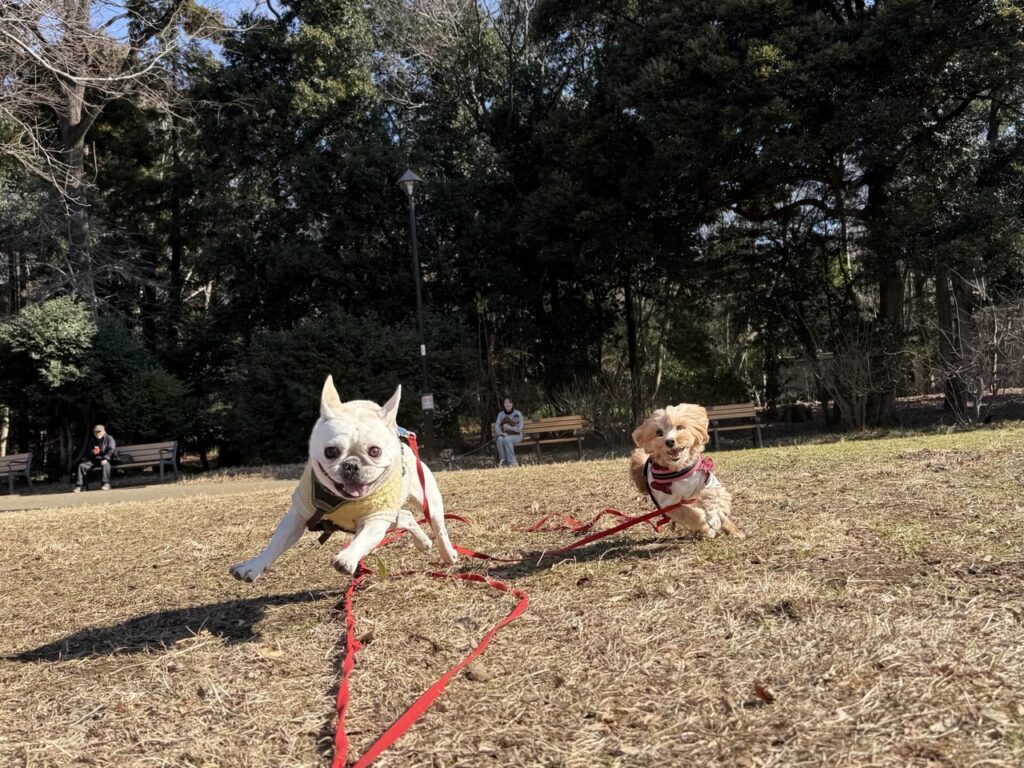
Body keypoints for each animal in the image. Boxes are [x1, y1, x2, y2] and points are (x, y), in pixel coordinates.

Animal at [230, 375, 459, 581]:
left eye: (375, 451)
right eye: (330, 451)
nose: (351, 465)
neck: (343, 499)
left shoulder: (376, 519)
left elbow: (364, 538)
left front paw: (347, 557)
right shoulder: (299, 515)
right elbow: (277, 542)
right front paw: (253, 566)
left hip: (428, 504)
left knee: (439, 529)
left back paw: (448, 554)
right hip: (393, 516)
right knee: (407, 516)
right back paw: (423, 542)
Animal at [629, 403, 743, 539]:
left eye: (680, 427)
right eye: (658, 433)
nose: (669, 441)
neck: (679, 469)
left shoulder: (707, 480)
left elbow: (716, 497)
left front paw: (714, 518)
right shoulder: (667, 502)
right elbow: (686, 513)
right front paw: (703, 523)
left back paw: (733, 530)